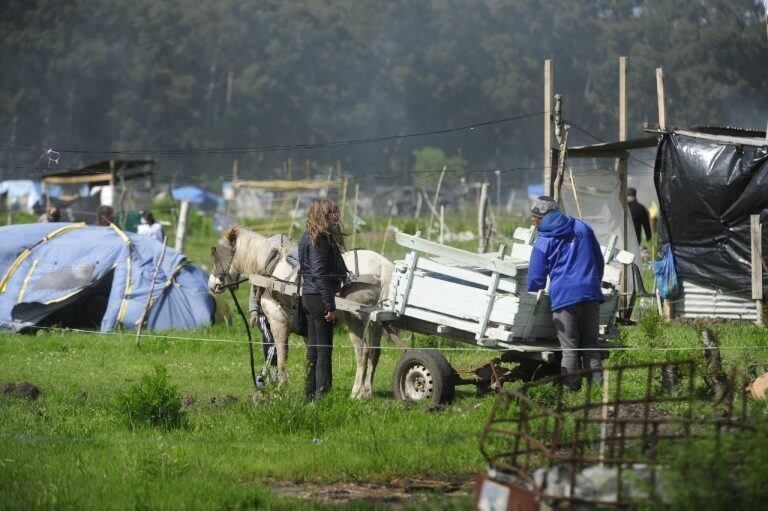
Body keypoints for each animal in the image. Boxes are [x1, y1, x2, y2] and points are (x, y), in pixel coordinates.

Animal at [207, 227, 392, 400]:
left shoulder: (278, 322)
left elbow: (282, 357)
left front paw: (281, 389)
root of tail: (382, 265)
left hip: (355, 319)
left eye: (220, 254)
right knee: (375, 352)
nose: (212, 285)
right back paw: (367, 392)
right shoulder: (308, 328)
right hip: (375, 322)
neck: (272, 268)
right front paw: (316, 388)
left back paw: (356, 393)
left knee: (363, 352)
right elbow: (312, 355)